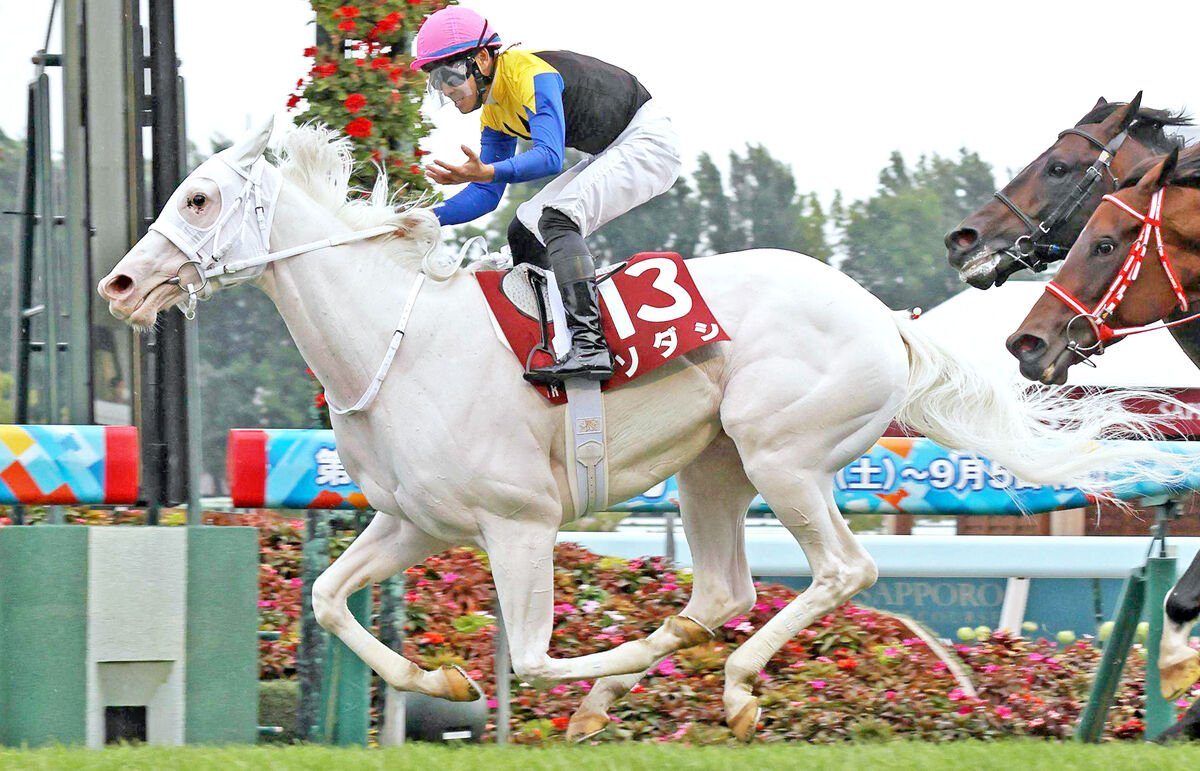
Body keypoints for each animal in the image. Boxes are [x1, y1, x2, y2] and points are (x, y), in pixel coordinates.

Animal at [98, 121, 1185, 739]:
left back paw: (735, 686)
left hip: (780, 450)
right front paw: (438, 671)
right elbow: (327, 600)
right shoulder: (413, 521)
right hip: (714, 469)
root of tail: (889, 321)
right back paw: (673, 664)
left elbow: (534, 656)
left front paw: (563, 681)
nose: (119, 283)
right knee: (722, 590)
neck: (397, 340)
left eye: (198, 196)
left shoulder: (518, 522)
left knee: (840, 570)